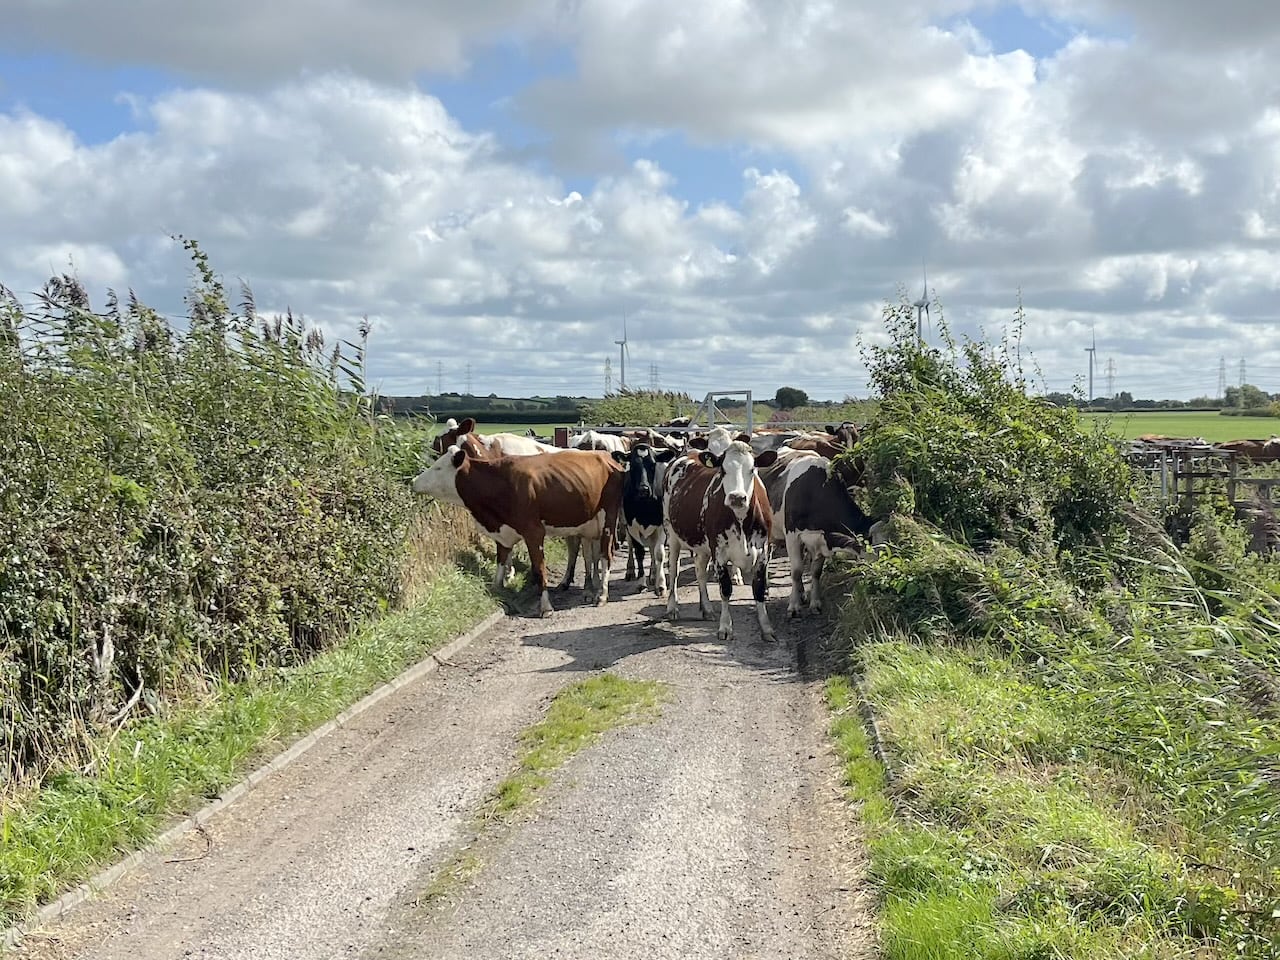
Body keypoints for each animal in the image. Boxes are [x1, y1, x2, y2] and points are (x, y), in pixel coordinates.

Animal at [412, 442, 622, 616]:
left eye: (438, 467)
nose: (413, 481)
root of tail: (606, 457)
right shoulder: (503, 533)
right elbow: (500, 563)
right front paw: (497, 590)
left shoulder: (534, 532)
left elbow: (539, 570)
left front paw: (546, 607)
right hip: (587, 524)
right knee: (589, 556)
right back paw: (589, 589)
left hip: (608, 520)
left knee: (605, 555)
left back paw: (601, 595)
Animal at [609, 442, 680, 593]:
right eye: (633, 466)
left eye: (652, 465)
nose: (643, 489)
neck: (644, 505)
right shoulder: (632, 525)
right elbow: (639, 552)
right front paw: (641, 582)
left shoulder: (661, 525)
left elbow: (659, 553)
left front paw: (660, 584)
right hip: (624, 522)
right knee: (631, 546)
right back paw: (630, 571)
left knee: (653, 549)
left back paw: (653, 575)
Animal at [660, 440, 778, 642]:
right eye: (723, 470)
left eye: (752, 469)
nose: (737, 497)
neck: (742, 522)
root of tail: (688, 453)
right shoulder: (719, 552)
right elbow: (725, 589)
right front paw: (725, 627)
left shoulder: (763, 551)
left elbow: (759, 589)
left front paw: (766, 628)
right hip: (672, 533)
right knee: (674, 571)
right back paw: (672, 607)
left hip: (702, 546)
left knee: (700, 572)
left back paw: (707, 609)